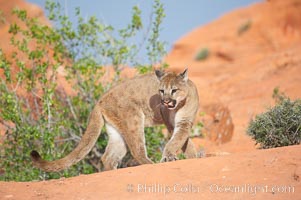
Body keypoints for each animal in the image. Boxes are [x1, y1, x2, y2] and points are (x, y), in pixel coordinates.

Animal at [31, 68, 199, 171]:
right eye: (161, 91)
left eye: (174, 90)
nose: (164, 101)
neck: (180, 103)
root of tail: (100, 100)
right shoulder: (172, 123)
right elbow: (177, 140)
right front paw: (170, 157)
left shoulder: (184, 122)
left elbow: (183, 141)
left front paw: (193, 157)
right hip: (133, 119)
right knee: (136, 150)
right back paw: (150, 164)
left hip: (117, 132)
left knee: (108, 157)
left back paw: (110, 172)